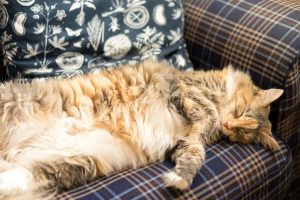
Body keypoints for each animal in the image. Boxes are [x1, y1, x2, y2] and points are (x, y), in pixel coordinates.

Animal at [0, 59, 282, 198]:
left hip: (74, 161)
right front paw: (208, 122)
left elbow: (195, 156)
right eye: (241, 113)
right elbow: (207, 113)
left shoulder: (179, 144)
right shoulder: (184, 87)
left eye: (242, 132)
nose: (228, 124)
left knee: (17, 177)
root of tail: (11, 150)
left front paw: (178, 181)